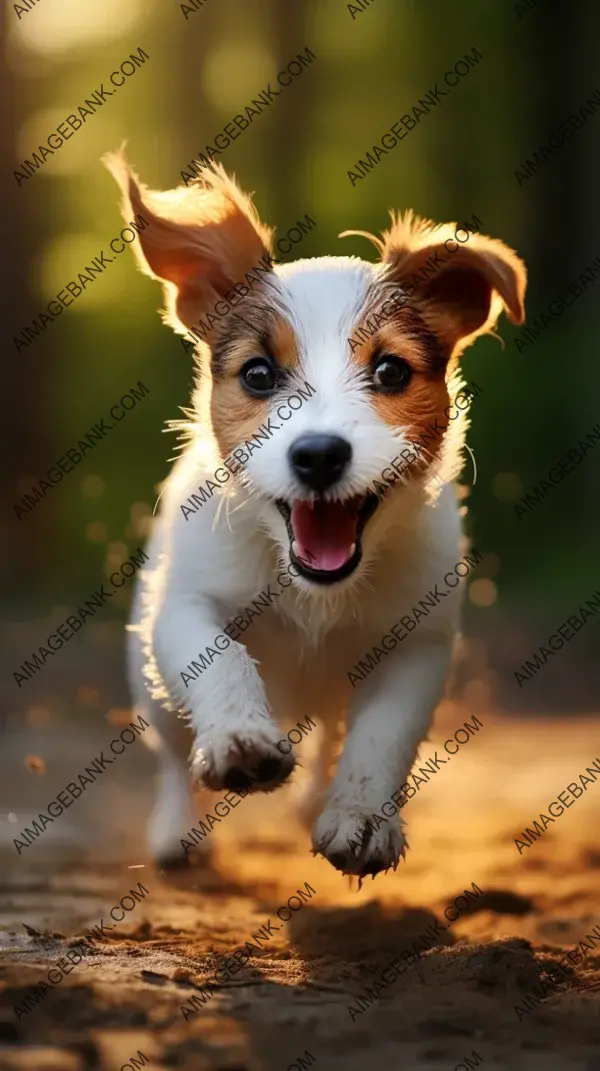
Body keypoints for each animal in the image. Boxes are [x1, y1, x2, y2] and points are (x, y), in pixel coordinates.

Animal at [105, 155, 527, 882]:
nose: (320, 454)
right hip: (150, 685)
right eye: (258, 375)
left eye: (390, 371)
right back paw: (175, 832)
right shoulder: (186, 604)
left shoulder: (417, 646)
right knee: (171, 754)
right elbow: (218, 657)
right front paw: (241, 740)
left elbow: (381, 734)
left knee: (332, 730)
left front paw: (360, 818)